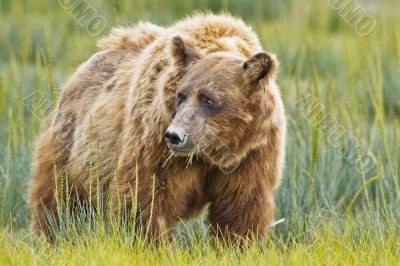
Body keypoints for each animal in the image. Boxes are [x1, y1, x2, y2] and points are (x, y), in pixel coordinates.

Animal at [27, 12, 284, 241]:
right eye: (181, 95)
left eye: (209, 99)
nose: (175, 135)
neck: (213, 152)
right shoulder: (155, 141)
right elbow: (146, 196)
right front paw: (147, 242)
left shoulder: (252, 153)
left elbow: (240, 207)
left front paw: (234, 244)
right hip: (72, 146)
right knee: (60, 199)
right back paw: (55, 234)